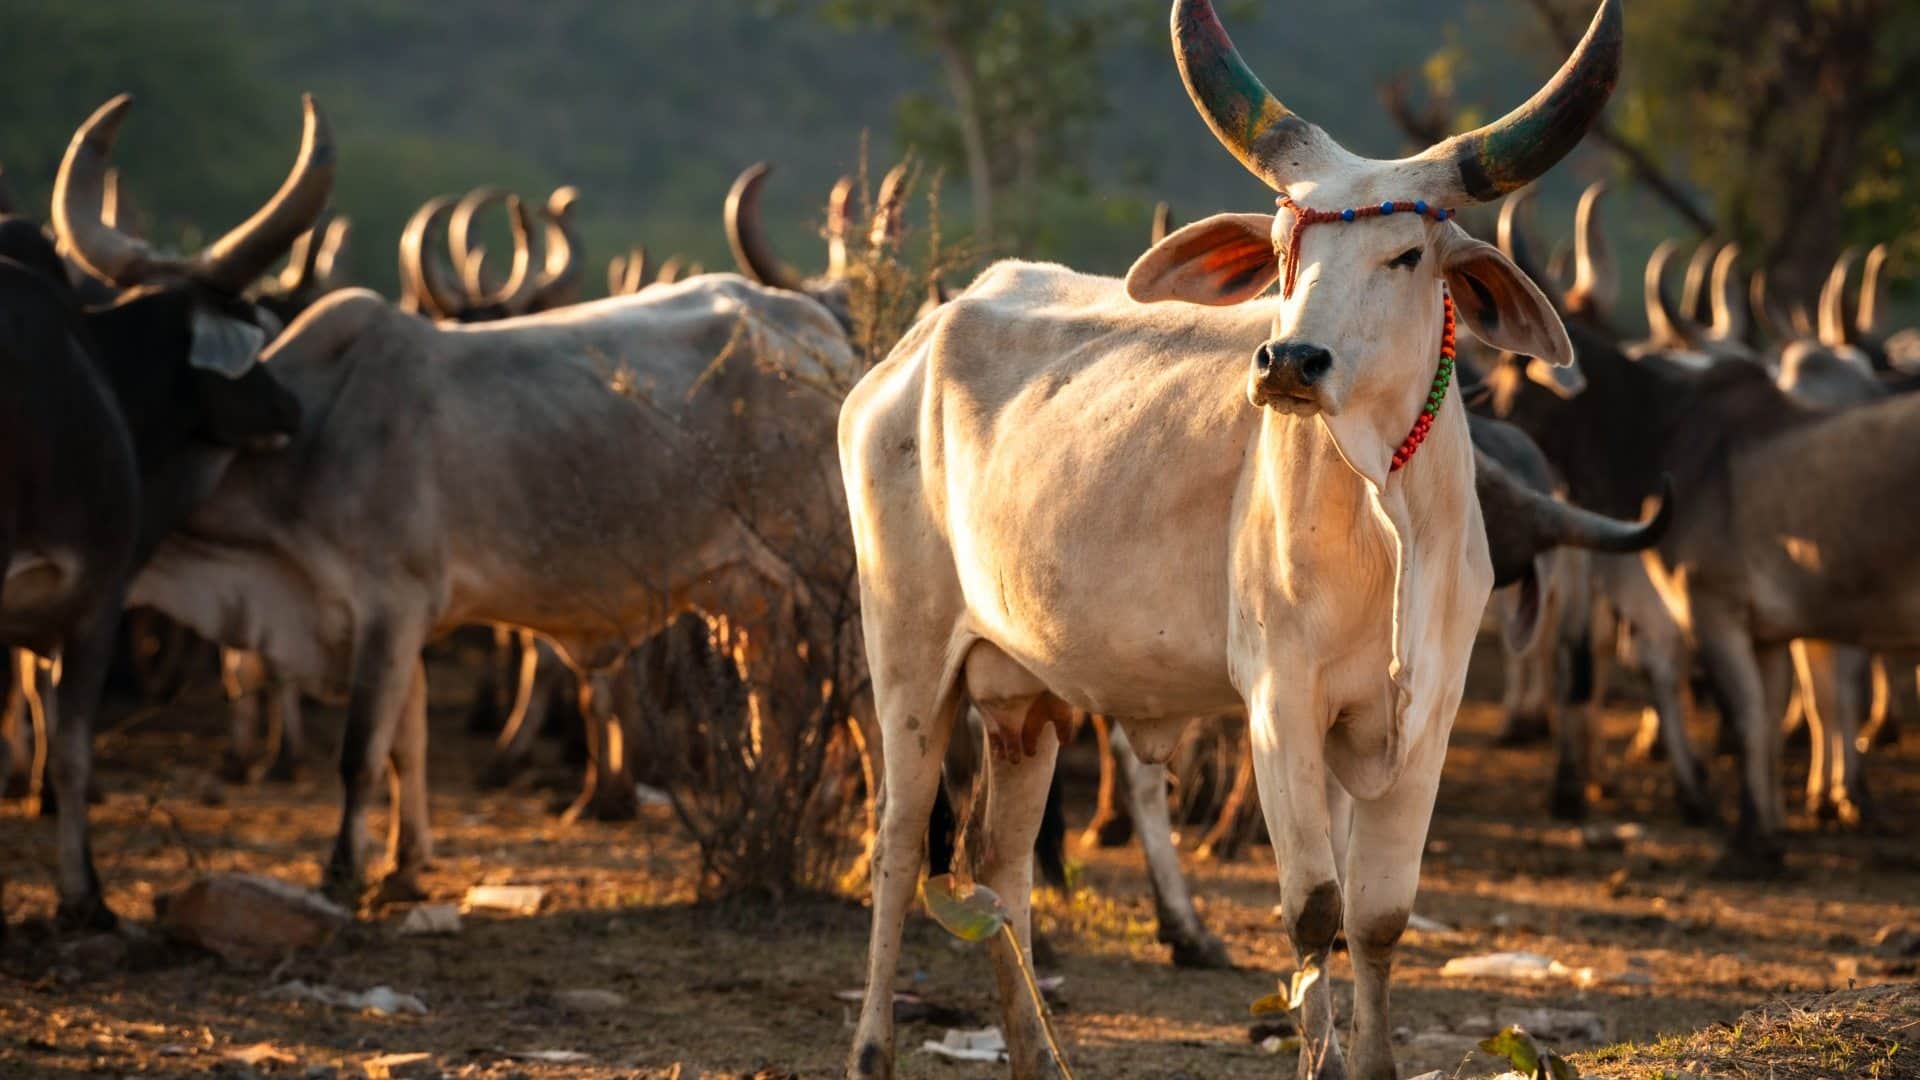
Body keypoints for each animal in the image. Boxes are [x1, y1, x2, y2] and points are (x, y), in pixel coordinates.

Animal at [839, 2, 1622, 1075]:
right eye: (1286, 248)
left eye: (1406, 256)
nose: (1289, 361)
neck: (1383, 510)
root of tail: (908, 349)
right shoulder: (1278, 702)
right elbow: (1315, 912)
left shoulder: (1427, 714)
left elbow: (1378, 920)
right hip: (908, 656)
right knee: (901, 839)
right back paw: (873, 1045)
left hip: (1023, 694)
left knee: (998, 863)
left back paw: (1040, 1054)